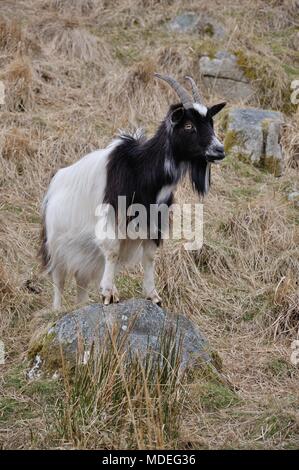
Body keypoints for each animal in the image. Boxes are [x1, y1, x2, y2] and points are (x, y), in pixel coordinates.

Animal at [40, 73, 227, 308]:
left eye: (211, 122)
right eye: (188, 126)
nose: (219, 150)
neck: (140, 171)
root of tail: (54, 185)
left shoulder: (153, 220)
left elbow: (149, 255)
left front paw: (152, 295)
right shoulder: (111, 215)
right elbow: (112, 250)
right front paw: (107, 293)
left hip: (84, 252)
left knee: (81, 279)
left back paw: (83, 305)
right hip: (56, 243)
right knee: (59, 278)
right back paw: (57, 309)